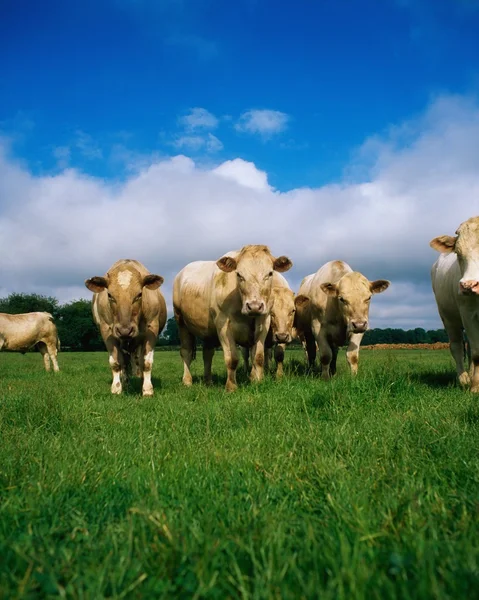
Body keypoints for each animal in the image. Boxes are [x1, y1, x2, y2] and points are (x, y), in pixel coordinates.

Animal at [86, 258, 167, 396]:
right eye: (109, 295)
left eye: (139, 294)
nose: (125, 330)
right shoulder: (107, 331)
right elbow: (115, 363)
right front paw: (116, 388)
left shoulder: (152, 329)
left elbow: (146, 363)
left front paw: (147, 389)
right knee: (125, 362)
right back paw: (126, 382)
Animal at [172, 245, 292, 392]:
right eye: (239, 274)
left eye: (270, 273)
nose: (254, 306)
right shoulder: (223, 326)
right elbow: (232, 359)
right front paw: (231, 386)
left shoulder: (263, 323)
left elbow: (258, 357)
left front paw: (257, 381)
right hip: (181, 322)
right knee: (186, 352)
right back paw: (187, 381)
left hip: (207, 331)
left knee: (207, 354)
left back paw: (208, 381)